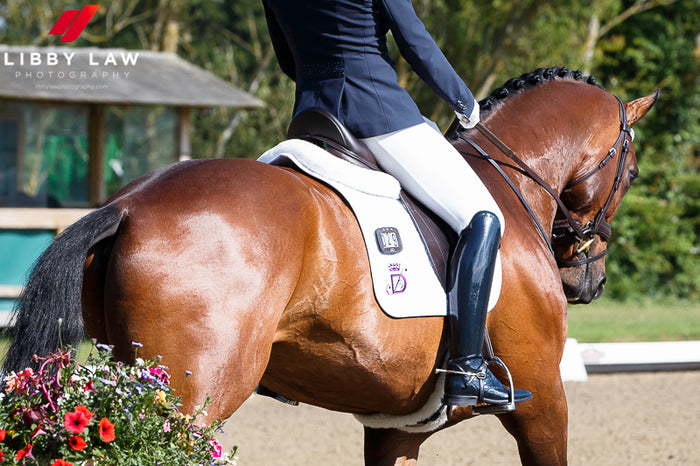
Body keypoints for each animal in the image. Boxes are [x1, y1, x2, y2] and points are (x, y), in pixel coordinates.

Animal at [4, 67, 658, 465]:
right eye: (631, 173)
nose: (589, 280)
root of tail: (130, 202)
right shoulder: (544, 397)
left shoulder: (395, 426)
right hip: (189, 400)